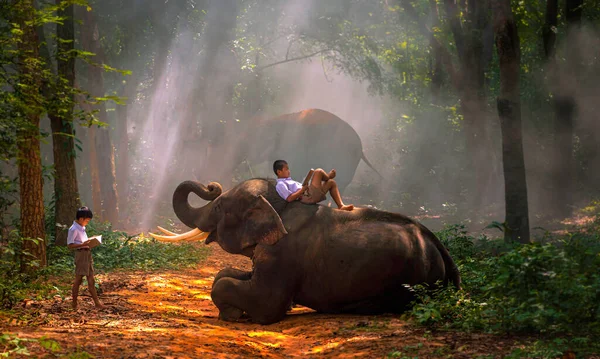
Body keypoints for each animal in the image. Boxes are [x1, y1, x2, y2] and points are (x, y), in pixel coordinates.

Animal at [157, 179, 462, 324]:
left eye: (220, 207)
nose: (211, 186)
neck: (281, 205)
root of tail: (440, 247)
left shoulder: (282, 253)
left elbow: (267, 304)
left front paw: (233, 315)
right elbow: (225, 274)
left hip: (414, 281)